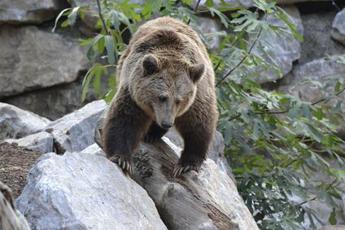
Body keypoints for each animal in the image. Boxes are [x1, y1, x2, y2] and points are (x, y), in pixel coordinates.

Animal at [101, 16, 218, 176]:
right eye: (162, 97)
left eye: (179, 100)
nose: (167, 123)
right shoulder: (132, 92)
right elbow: (124, 119)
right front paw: (122, 159)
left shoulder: (197, 96)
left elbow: (198, 124)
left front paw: (186, 164)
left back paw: (153, 134)